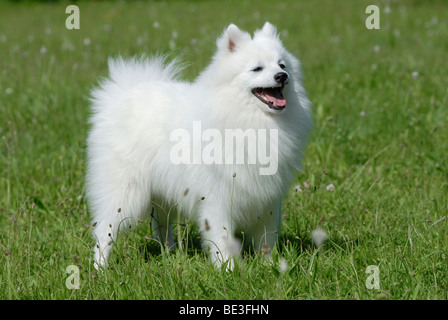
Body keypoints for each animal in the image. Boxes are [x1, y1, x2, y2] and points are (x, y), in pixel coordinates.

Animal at [86, 21, 312, 268]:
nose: (282, 76)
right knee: (104, 231)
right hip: (124, 192)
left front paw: (270, 267)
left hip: (163, 193)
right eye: (257, 69)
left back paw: (170, 253)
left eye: (282, 64)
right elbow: (222, 238)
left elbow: (267, 238)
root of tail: (123, 95)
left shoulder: (268, 200)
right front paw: (228, 269)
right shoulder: (218, 198)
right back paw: (100, 268)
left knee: (162, 225)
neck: (248, 119)